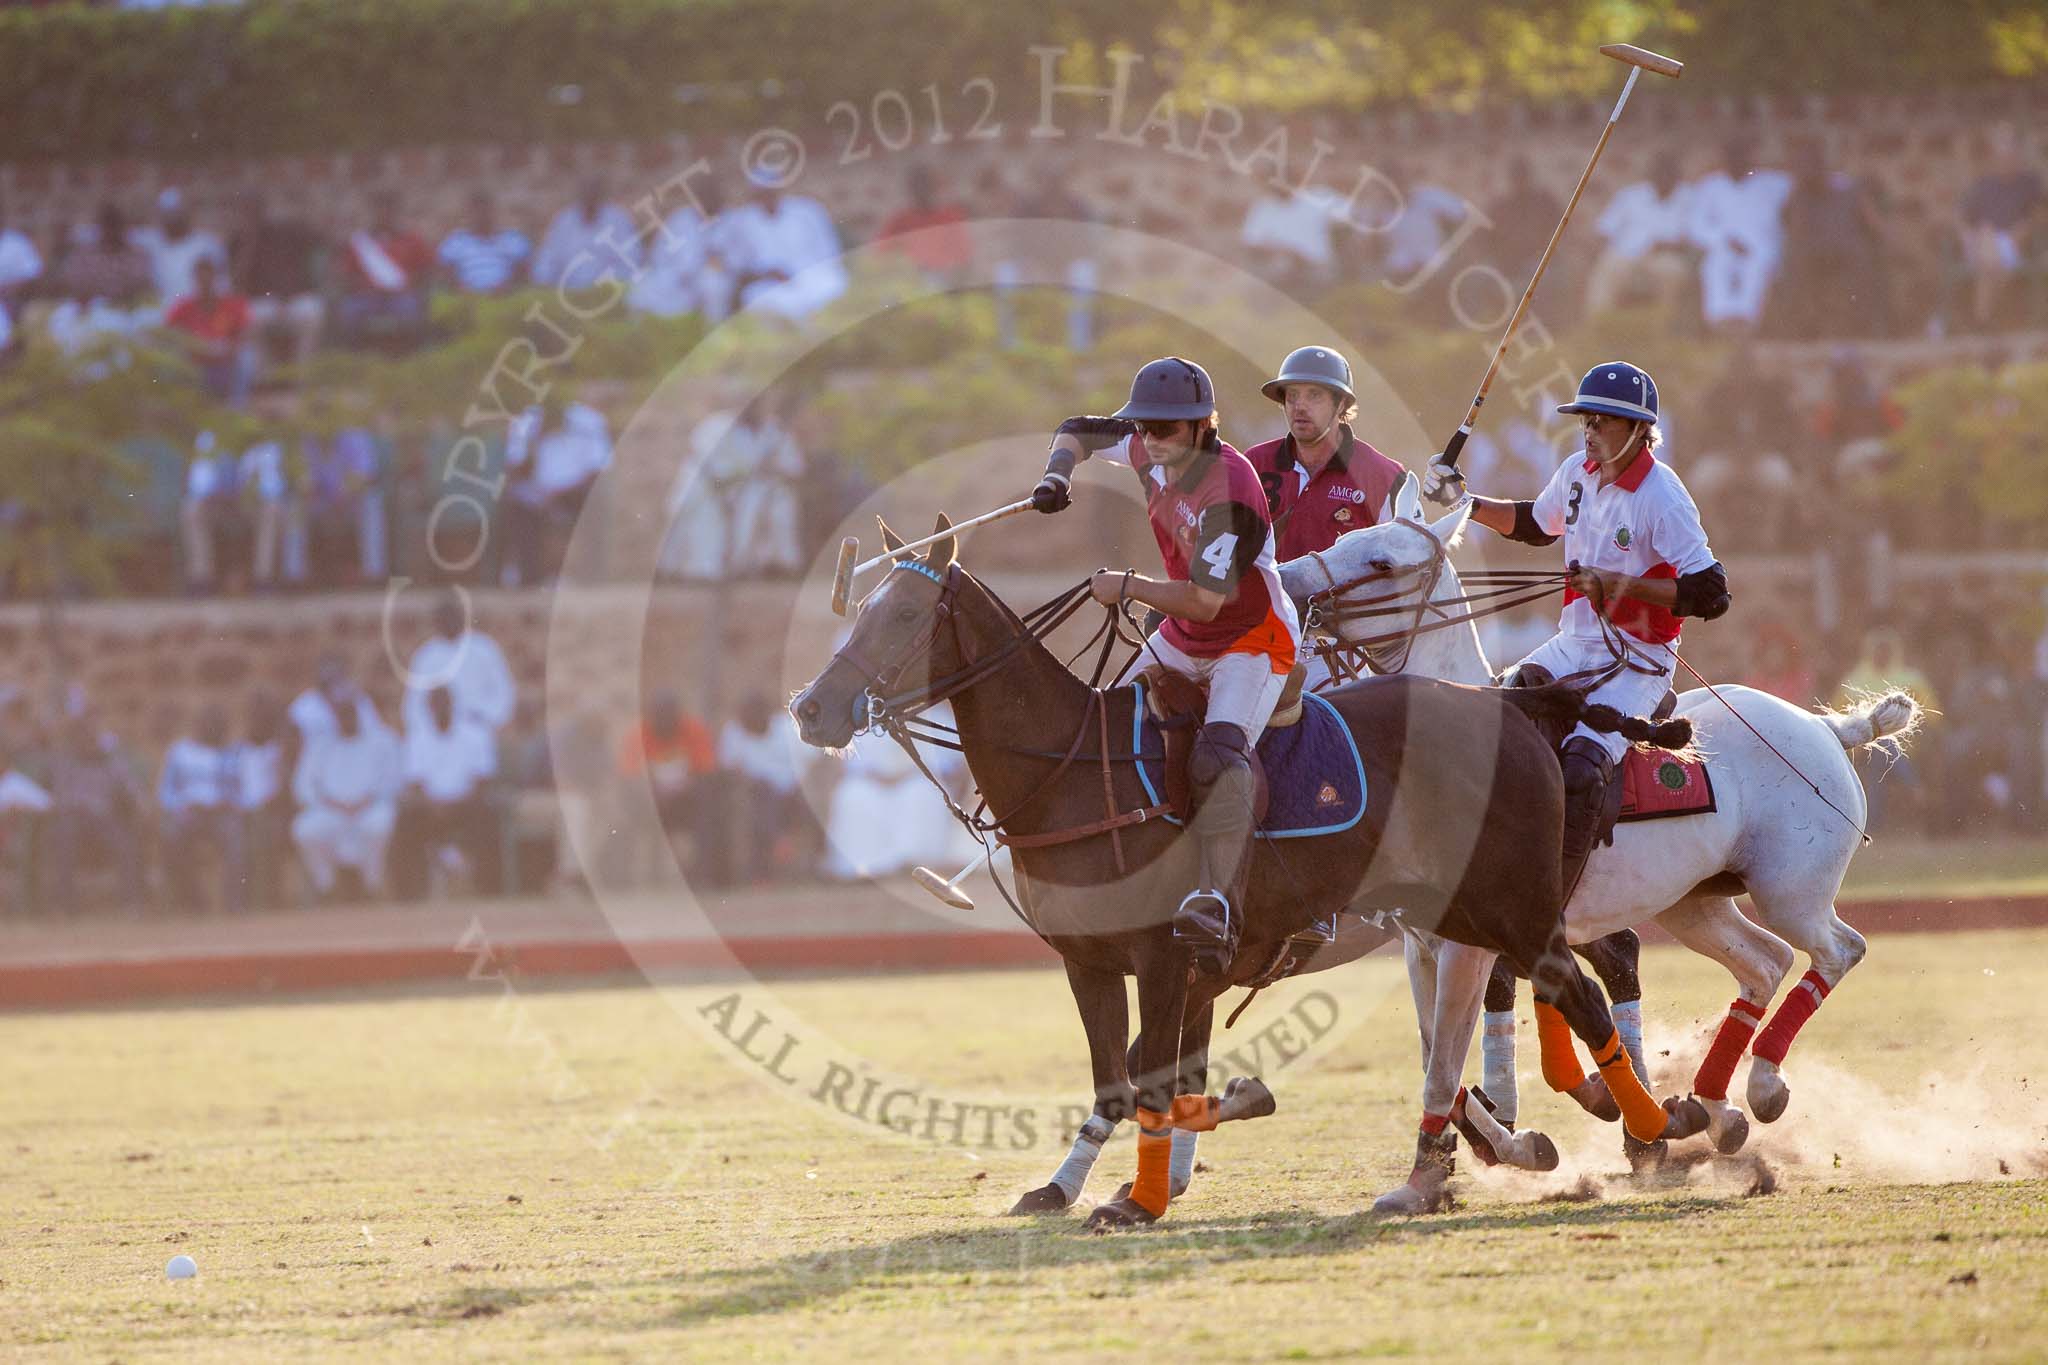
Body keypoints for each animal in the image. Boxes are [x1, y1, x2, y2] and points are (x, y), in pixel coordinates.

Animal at [790, 517, 1703, 1236]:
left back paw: (1662, 1126)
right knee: (1558, 988)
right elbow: (1124, 1078)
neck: (1073, 771)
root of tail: (1516, 704)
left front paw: (1139, 1195)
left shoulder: (1168, 956)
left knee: (1580, 987)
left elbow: (1156, 1073)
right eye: (862, 610)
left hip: (1507, 904)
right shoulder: (1096, 961)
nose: (809, 708)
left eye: (906, 613)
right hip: (1472, 912)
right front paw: (1076, 1184)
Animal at [1286, 474, 1925, 1211]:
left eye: (1381, 560)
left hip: (1792, 889)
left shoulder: (1473, 943)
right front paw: (1468, 1164)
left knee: (1837, 949)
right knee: (1765, 962)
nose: (1289, 583)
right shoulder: (1424, 945)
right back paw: (1714, 1106)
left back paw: (1761, 1086)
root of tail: (1827, 728)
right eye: (1348, 535)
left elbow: (1448, 1065)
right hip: (1693, 901)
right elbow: (1435, 1064)